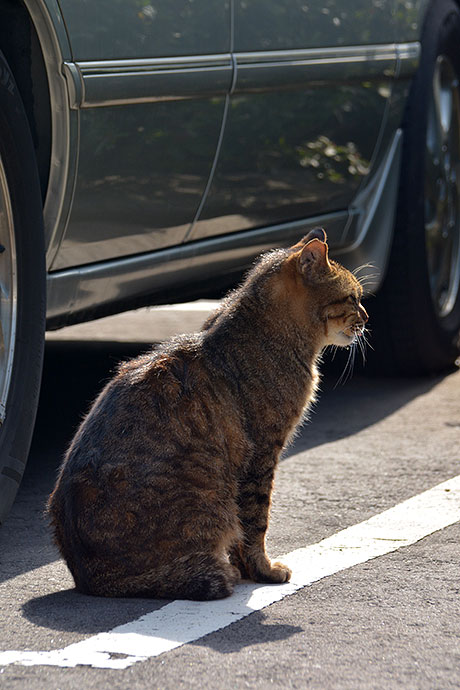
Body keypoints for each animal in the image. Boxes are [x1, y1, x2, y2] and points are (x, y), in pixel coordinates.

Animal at [46, 228, 368, 600]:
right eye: (352, 298)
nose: (367, 318)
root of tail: (91, 579)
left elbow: (245, 532)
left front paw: (247, 568)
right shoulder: (262, 453)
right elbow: (256, 522)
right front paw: (263, 571)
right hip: (212, 495)